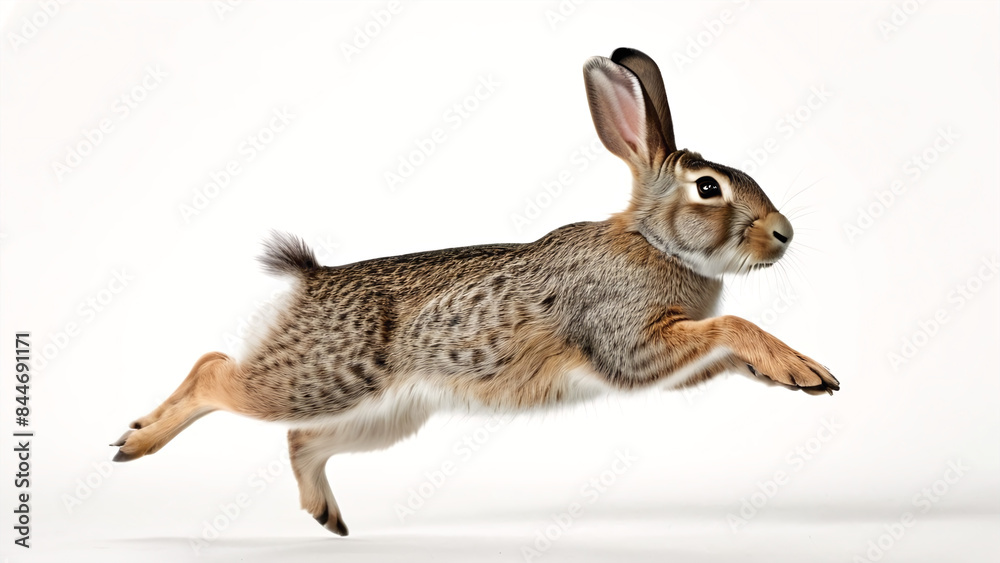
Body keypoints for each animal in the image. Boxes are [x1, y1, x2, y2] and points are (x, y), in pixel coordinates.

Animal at [110, 47, 838, 536]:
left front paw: (796, 373)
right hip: (322, 380)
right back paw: (136, 442)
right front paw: (805, 369)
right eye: (709, 187)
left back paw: (327, 517)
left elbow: (727, 345)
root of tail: (310, 278)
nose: (783, 233)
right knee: (216, 372)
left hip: (383, 417)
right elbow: (729, 328)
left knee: (298, 441)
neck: (654, 241)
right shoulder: (629, 342)